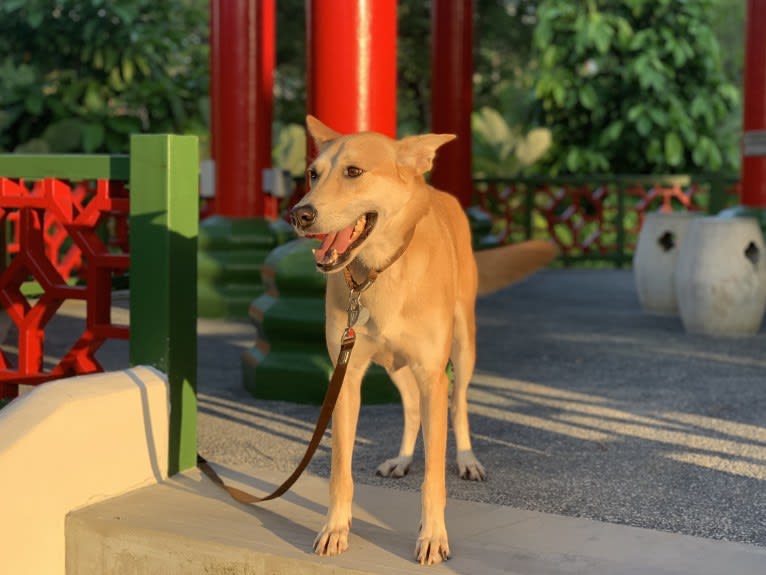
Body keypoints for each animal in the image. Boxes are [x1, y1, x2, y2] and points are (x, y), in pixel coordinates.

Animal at [292, 115, 556, 564]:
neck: (379, 272)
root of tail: (435, 191)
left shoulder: (434, 375)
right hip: (394, 366)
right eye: (313, 174)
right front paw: (335, 528)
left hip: (463, 349)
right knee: (412, 406)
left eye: (354, 172)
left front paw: (432, 536)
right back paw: (401, 459)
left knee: (459, 405)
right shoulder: (348, 375)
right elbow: (341, 471)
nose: (299, 214)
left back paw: (467, 459)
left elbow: (434, 475)